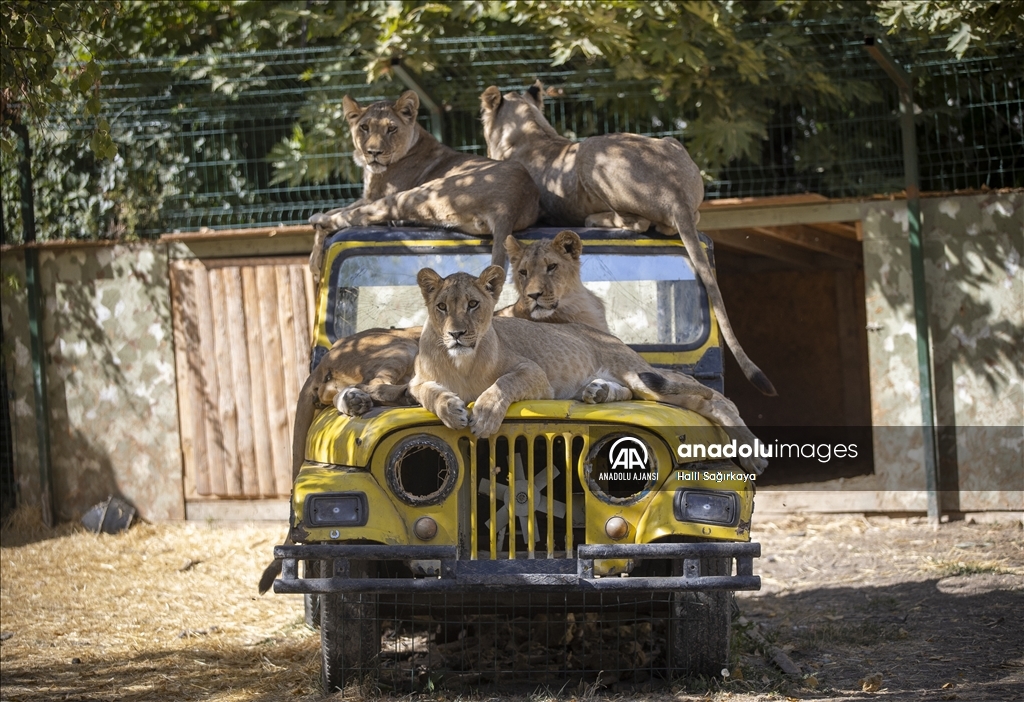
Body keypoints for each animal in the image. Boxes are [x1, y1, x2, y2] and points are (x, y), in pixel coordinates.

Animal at [307, 90, 540, 274]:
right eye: (364, 127)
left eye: (391, 129)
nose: (374, 152)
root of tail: (510, 203)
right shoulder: (366, 196)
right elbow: (337, 208)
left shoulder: (376, 197)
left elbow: (341, 213)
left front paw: (314, 262)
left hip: (416, 194)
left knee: (360, 217)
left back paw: (321, 219)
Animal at [409, 266, 767, 475]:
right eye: (441, 307)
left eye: (473, 304)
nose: (456, 334)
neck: (462, 362)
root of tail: (608, 335)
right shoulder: (416, 381)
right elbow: (428, 393)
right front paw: (452, 409)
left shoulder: (536, 375)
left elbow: (502, 383)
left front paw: (483, 414)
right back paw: (597, 391)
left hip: (641, 375)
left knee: (712, 398)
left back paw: (754, 455)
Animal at [479, 83, 776, 396]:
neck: (530, 129)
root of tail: (675, 189)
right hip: (674, 153)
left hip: (591, 150)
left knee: (637, 222)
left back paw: (593, 219)